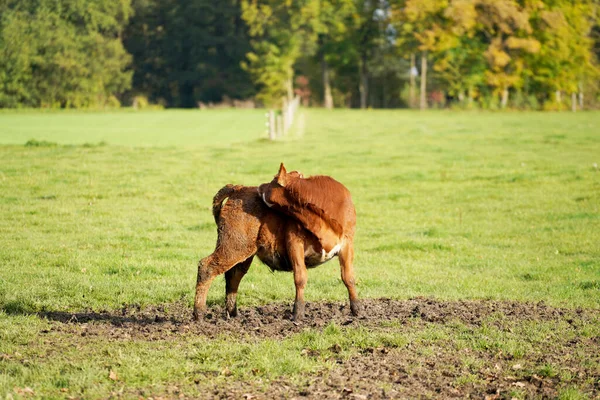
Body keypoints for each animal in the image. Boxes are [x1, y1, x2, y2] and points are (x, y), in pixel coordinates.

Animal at [195, 180, 358, 320]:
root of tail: (239, 188)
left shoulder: (347, 245)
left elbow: (348, 277)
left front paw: (357, 310)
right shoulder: (295, 243)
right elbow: (300, 277)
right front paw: (298, 314)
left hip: (244, 253)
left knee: (234, 275)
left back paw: (233, 313)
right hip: (233, 247)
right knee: (207, 267)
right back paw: (199, 314)